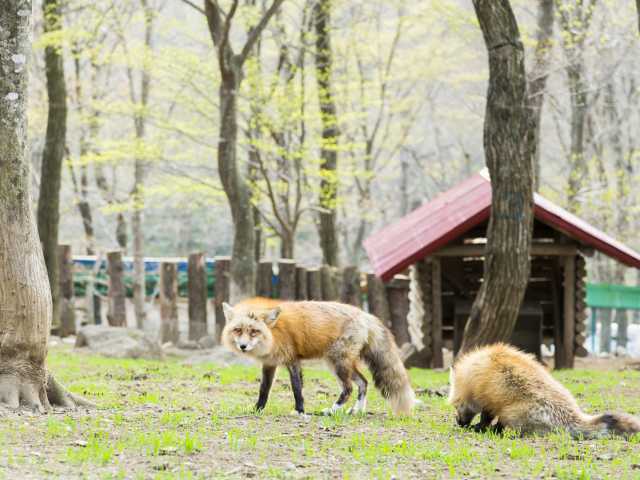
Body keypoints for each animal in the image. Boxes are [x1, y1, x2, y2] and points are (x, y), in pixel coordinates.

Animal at [222, 298, 418, 414]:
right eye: (238, 330)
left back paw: (332, 410)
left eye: (254, 331)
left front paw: (300, 411)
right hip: (343, 364)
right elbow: (264, 389)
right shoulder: (270, 363)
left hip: (337, 363)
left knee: (349, 388)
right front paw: (257, 409)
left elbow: (297, 388)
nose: (243, 346)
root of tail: (365, 314)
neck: (274, 333)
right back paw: (357, 411)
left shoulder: (293, 360)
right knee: (363, 383)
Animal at [448, 342, 640, 438]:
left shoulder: (488, 401)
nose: (459, 423)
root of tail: (573, 416)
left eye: (457, 405)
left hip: (510, 414)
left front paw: (479, 427)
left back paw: (494, 432)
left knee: (510, 430)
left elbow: (486, 418)